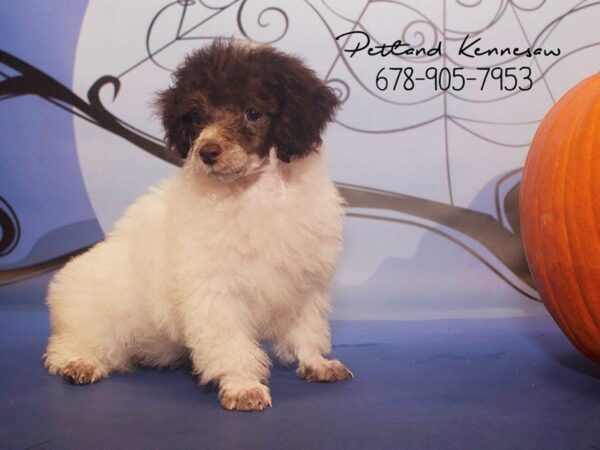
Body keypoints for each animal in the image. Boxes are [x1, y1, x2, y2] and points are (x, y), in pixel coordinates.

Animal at [43, 40, 352, 414]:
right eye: (198, 116)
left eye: (252, 113)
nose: (207, 151)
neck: (254, 191)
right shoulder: (215, 290)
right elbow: (229, 340)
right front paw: (243, 384)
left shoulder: (304, 283)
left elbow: (307, 329)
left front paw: (316, 363)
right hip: (91, 310)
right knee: (71, 344)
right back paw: (79, 363)